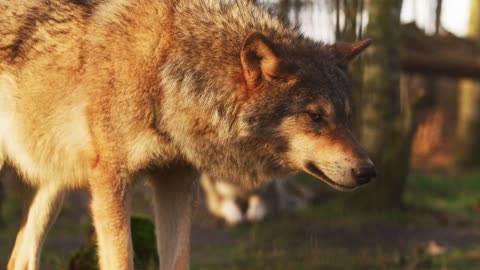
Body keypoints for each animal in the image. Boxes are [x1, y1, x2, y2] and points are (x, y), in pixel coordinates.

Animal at [0, 0, 376, 268]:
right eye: (315, 116)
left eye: (346, 117)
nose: (369, 171)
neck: (166, 68)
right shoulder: (111, 181)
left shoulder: (177, 179)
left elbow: (179, 259)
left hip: (51, 190)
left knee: (20, 259)